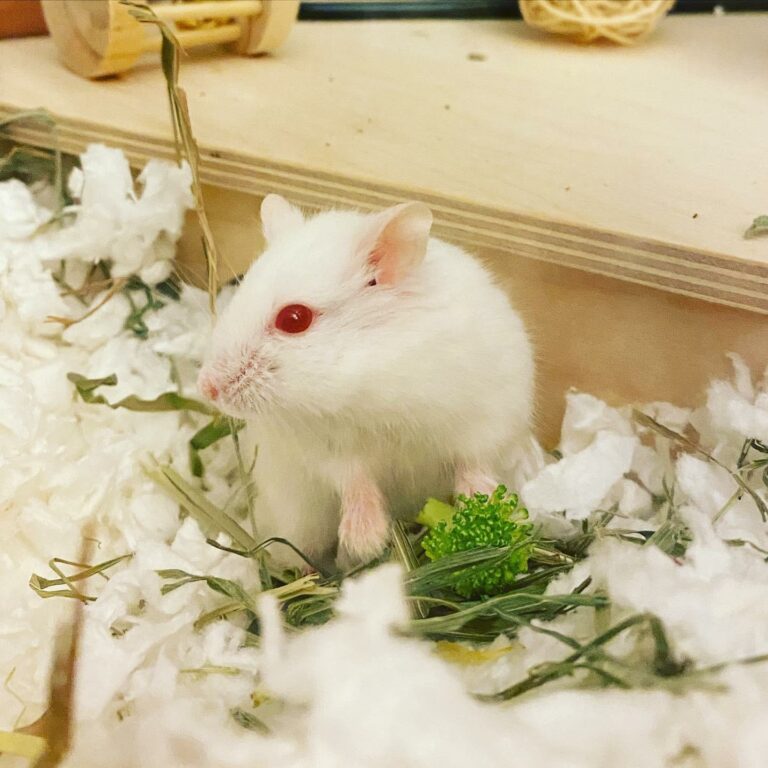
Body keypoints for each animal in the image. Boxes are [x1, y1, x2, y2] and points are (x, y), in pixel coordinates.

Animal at [198, 195, 534, 569]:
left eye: (294, 318)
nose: (206, 387)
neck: (368, 383)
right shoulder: (326, 448)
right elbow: (353, 480)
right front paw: (366, 541)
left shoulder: (490, 413)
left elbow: (474, 460)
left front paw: (481, 504)